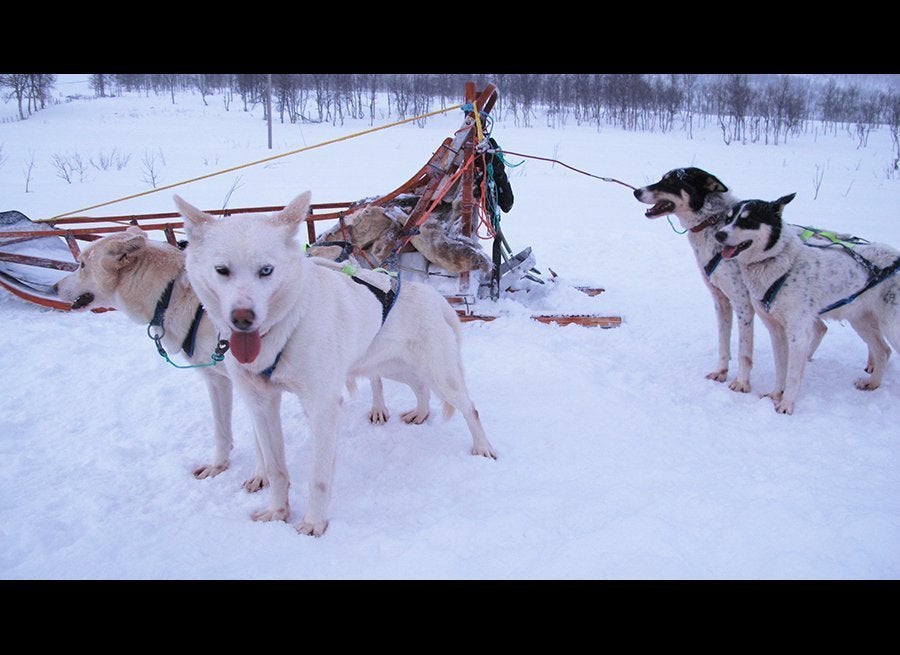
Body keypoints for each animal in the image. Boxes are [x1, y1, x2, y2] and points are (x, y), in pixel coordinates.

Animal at [176, 193, 496, 540]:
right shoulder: (260, 404)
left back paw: (483, 448)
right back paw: (421, 413)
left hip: (441, 375)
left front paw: (313, 524)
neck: (288, 325)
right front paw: (277, 512)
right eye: (222, 270)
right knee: (420, 387)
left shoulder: (323, 406)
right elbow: (276, 469)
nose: (242, 318)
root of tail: (433, 296)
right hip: (395, 368)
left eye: (266, 270)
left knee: (470, 408)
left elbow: (318, 477)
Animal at [712, 192, 896, 412]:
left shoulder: (797, 333)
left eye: (748, 220)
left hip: (891, 326)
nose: (719, 235)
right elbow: (781, 368)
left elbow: (792, 374)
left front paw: (786, 405)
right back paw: (873, 383)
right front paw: (775, 394)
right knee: (883, 351)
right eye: (728, 219)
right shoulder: (776, 331)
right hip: (861, 322)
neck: (782, 266)